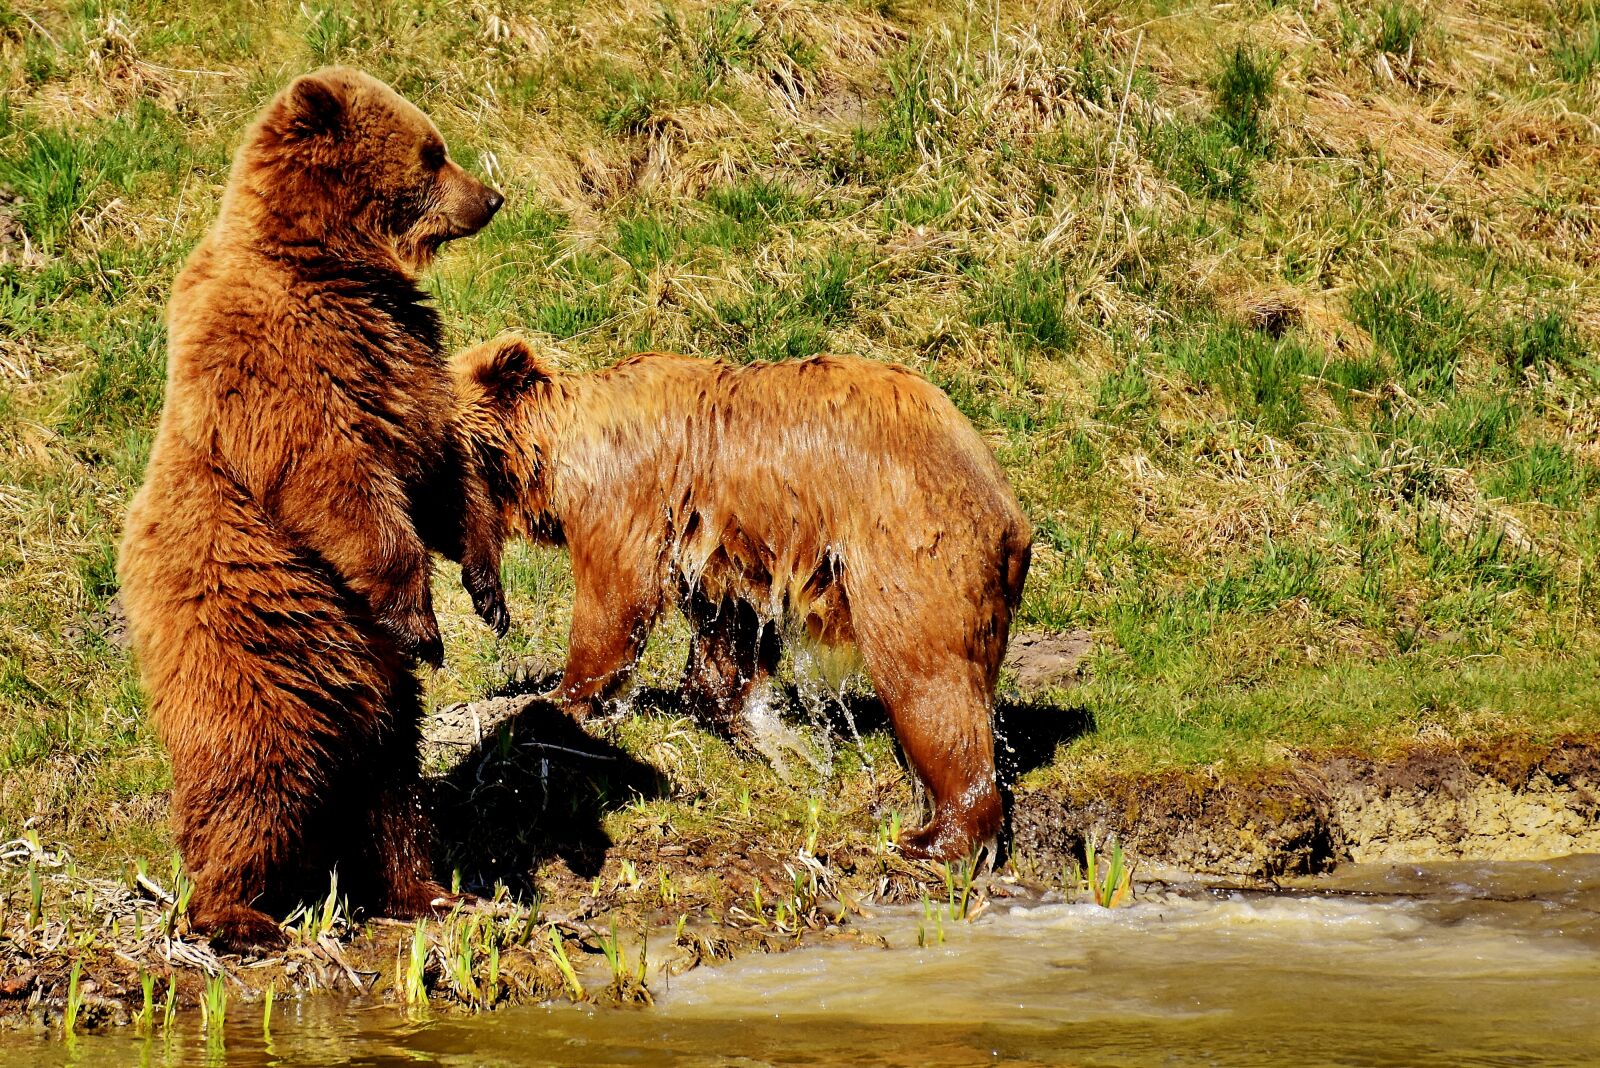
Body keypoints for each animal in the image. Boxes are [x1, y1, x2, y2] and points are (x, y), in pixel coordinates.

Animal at [117, 67, 508, 951]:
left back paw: (426, 891)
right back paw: (238, 914)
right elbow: (337, 479)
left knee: (392, 786)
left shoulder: (401, 358)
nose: (492, 196)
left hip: (376, 696)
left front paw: (488, 590)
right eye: (431, 154)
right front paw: (418, 620)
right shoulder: (282, 356)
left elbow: (440, 469)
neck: (334, 263)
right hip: (258, 661)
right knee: (251, 779)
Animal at [452, 336, 1032, 861]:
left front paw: (558, 696)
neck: (553, 456)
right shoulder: (715, 543)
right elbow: (727, 631)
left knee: (928, 677)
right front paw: (748, 721)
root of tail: (1011, 515)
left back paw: (935, 837)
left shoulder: (627, 493)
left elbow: (615, 597)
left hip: (911, 543)